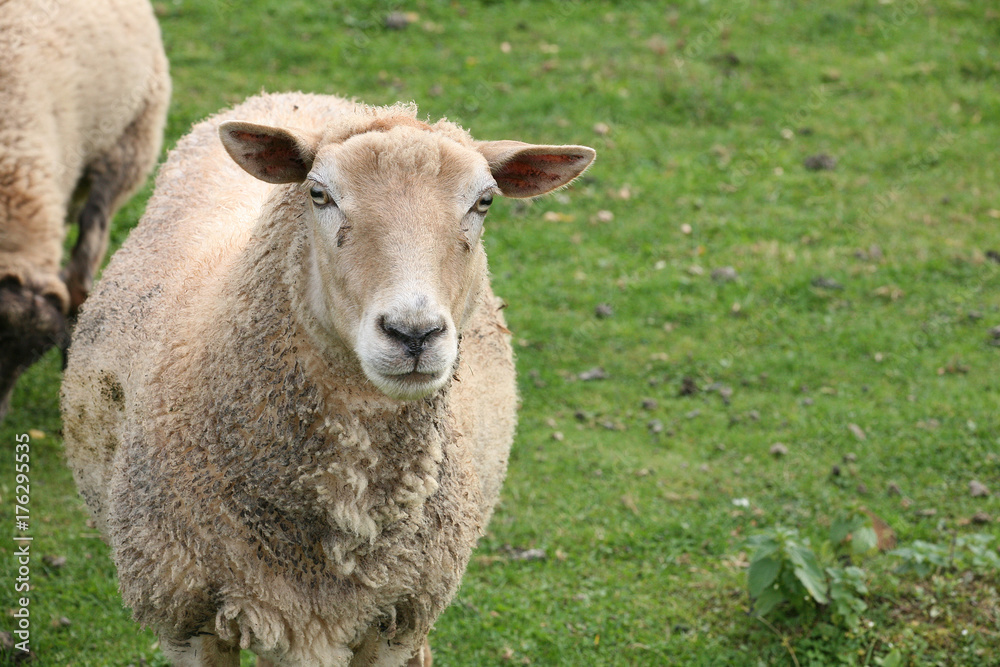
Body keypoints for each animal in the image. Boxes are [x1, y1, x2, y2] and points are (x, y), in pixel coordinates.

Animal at [61, 91, 595, 667]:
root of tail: (302, 97)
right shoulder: (186, 616)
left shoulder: (393, 620)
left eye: (484, 202)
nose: (413, 333)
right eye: (318, 194)